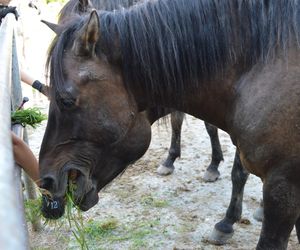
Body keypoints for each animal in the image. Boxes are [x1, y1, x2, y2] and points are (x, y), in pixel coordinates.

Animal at [39, 0, 298, 249]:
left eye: (65, 100)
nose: (46, 182)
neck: (259, 69)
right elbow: (184, 122)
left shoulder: (283, 186)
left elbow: (238, 173)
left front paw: (226, 222)